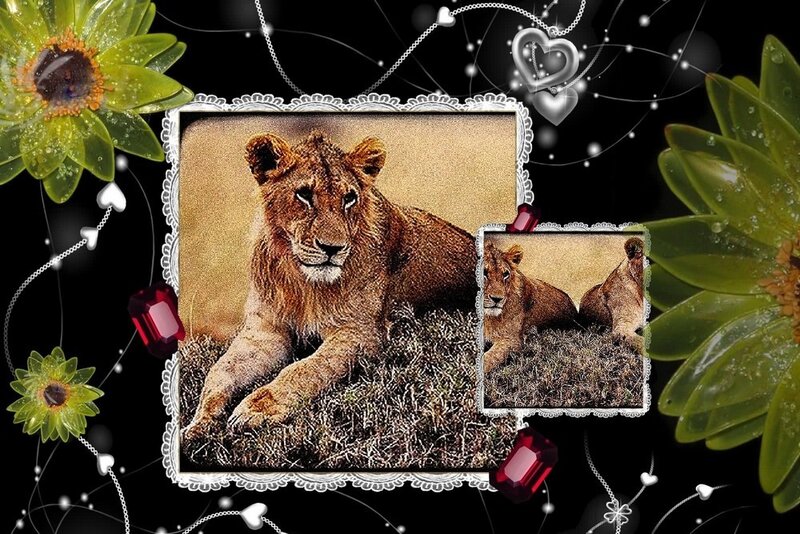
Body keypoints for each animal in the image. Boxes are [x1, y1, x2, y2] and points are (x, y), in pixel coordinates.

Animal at [182, 130, 477, 441]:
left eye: (349, 198)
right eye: (304, 194)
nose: (332, 248)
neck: (303, 283)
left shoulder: (359, 333)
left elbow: (305, 369)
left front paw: (256, 408)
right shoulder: (264, 331)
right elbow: (220, 371)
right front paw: (199, 423)